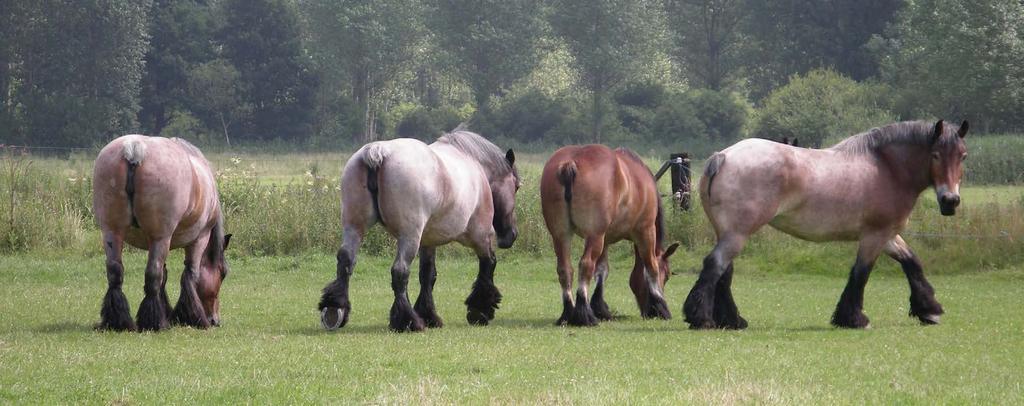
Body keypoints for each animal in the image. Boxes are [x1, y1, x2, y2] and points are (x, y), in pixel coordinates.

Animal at [92, 134, 232, 332]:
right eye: (223, 273)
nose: (214, 320)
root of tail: (135, 148)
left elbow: (165, 277)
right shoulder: (199, 239)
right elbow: (190, 274)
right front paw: (191, 316)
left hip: (112, 232)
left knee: (115, 273)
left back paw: (119, 321)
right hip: (161, 238)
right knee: (153, 273)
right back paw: (155, 322)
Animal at [317, 130, 520, 332]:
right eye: (517, 186)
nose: (511, 235)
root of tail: (378, 151)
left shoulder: (428, 242)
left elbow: (427, 275)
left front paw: (429, 315)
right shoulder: (480, 236)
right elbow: (488, 264)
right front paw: (480, 310)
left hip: (354, 227)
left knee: (346, 261)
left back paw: (335, 309)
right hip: (410, 236)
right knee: (400, 271)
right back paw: (407, 320)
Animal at [540, 145, 675, 326]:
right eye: (666, 275)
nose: (647, 313)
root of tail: (570, 163)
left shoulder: (606, 239)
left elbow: (602, 270)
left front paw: (600, 308)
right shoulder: (645, 231)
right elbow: (651, 266)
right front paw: (661, 306)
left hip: (561, 235)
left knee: (565, 269)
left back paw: (568, 313)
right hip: (594, 235)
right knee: (586, 265)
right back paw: (584, 314)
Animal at [688, 120, 966, 330]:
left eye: (962, 156)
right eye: (935, 155)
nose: (950, 201)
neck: (887, 168)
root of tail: (723, 156)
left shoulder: (887, 235)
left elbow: (912, 263)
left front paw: (929, 310)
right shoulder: (874, 236)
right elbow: (861, 273)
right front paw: (854, 319)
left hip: (728, 232)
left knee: (723, 271)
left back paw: (732, 321)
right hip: (738, 233)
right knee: (715, 265)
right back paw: (701, 318)